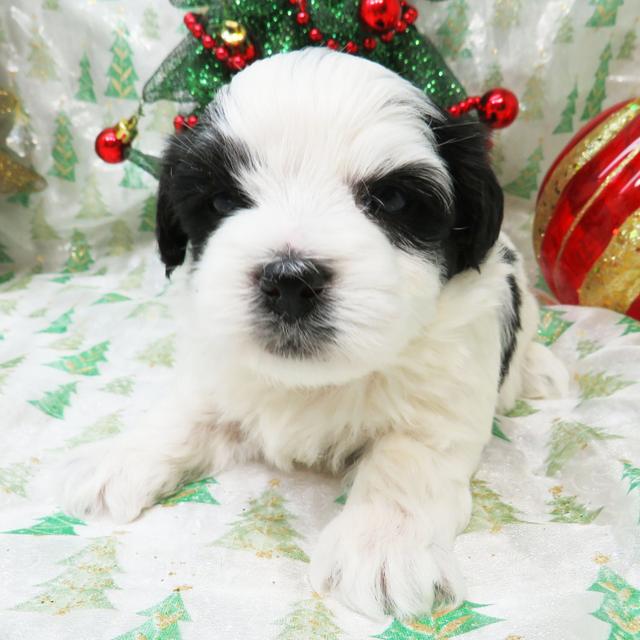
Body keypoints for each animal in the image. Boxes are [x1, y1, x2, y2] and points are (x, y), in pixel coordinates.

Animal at [57, 47, 568, 616]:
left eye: (392, 201)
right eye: (222, 203)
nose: (289, 281)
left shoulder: (442, 400)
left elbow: (405, 459)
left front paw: (383, 544)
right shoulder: (221, 363)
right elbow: (186, 411)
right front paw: (118, 459)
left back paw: (538, 371)